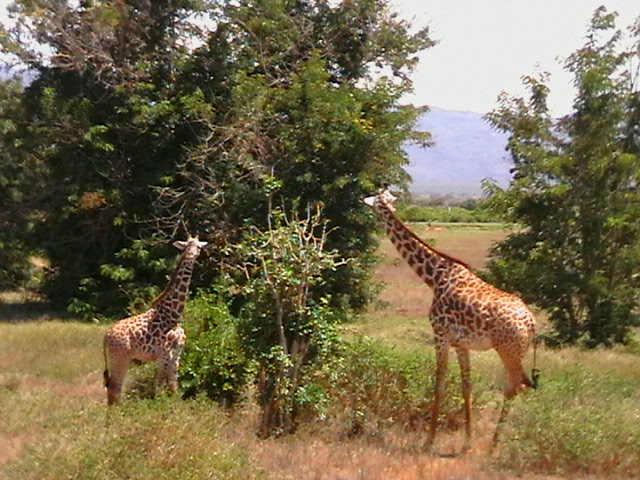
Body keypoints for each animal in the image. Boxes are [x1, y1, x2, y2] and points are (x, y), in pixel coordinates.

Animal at [103, 236, 208, 404]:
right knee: (115, 387)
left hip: (117, 359)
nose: (191, 255)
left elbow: (173, 385)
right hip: (121, 358)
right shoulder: (165, 354)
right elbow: (160, 386)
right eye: (186, 247)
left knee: (112, 387)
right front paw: (160, 406)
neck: (174, 315)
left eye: (198, 247)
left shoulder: (175, 355)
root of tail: (106, 336)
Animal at [362, 188, 536, 454]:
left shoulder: (440, 335)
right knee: (518, 385)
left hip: (507, 350)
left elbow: (439, 382)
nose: (364, 201)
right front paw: (467, 441)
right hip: (518, 351)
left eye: (376, 198)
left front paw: (429, 441)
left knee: (515, 386)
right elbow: (467, 385)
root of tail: (532, 322)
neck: (434, 277)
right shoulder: (461, 343)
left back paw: (494, 446)